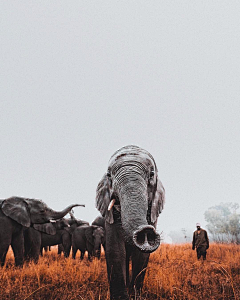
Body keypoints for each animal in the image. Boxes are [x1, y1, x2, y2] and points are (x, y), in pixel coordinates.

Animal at [95, 145, 165, 300]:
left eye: (151, 174)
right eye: (109, 175)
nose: (146, 231)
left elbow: (142, 255)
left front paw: (135, 296)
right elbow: (115, 249)